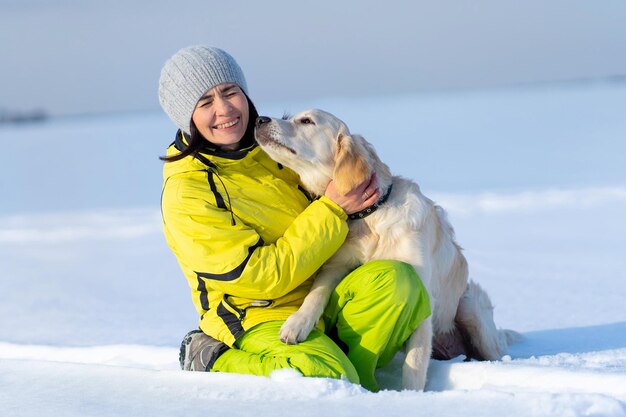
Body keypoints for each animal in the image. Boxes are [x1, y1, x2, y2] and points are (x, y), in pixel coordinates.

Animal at [251, 109, 516, 388]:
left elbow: (414, 364)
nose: (260, 120)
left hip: (470, 307)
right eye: (288, 116)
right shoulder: (335, 266)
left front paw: (409, 394)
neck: (371, 215)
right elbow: (316, 293)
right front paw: (297, 324)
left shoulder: (424, 294)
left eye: (306, 121)